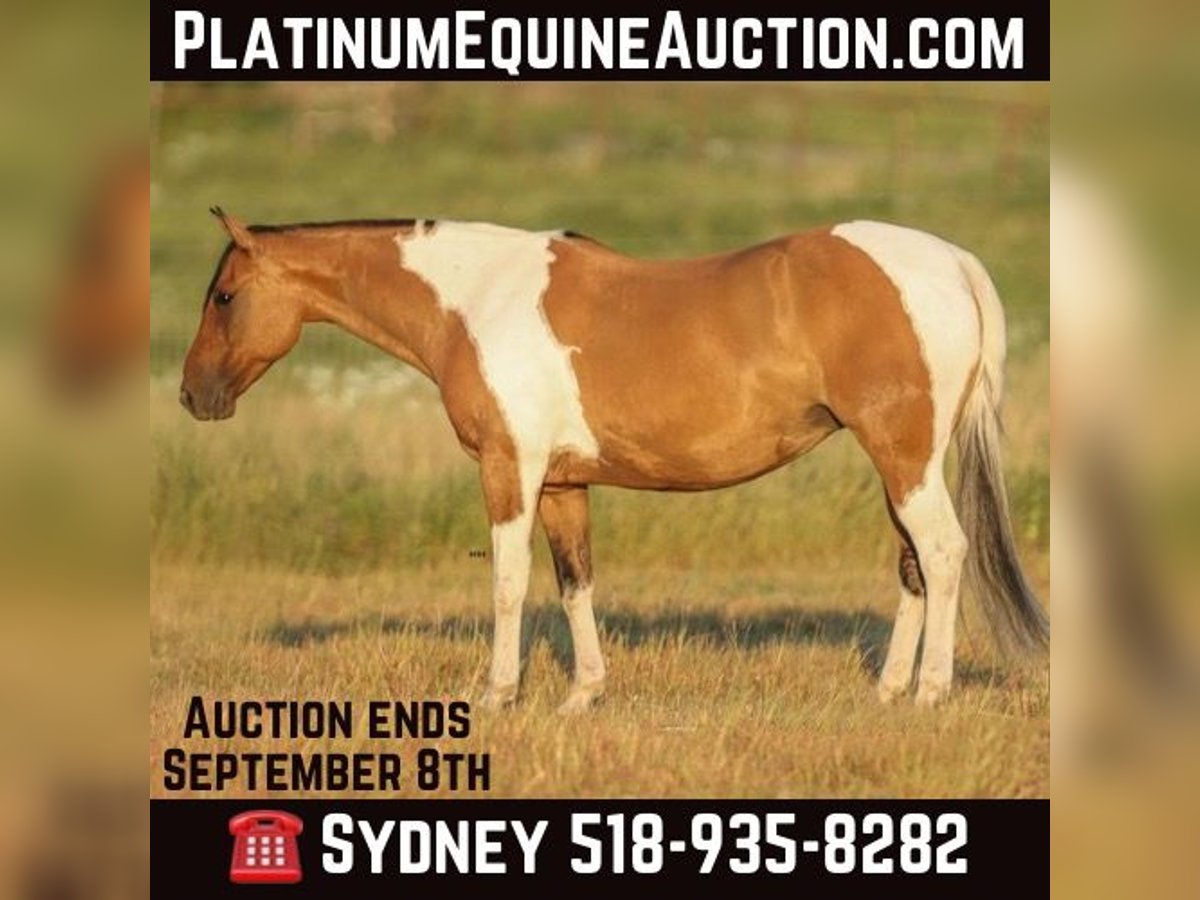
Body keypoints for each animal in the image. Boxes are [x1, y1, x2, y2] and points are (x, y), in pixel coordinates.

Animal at [180, 210, 1048, 711]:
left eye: (224, 296)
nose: (194, 395)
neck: (476, 300)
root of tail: (951, 261)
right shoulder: (564, 483)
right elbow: (575, 584)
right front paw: (582, 697)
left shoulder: (509, 470)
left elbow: (507, 584)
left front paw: (497, 695)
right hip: (901, 464)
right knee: (915, 566)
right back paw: (889, 690)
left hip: (905, 457)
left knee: (943, 553)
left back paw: (930, 693)